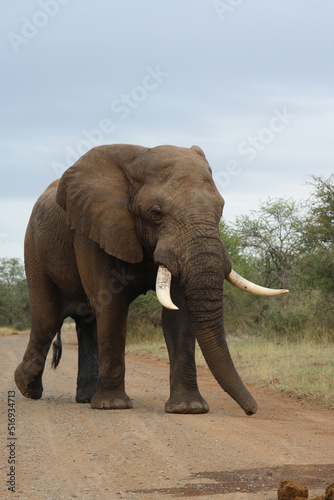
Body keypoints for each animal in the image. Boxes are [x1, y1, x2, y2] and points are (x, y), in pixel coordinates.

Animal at [15, 144, 288, 414]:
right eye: (156, 213)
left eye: (220, 210)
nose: (251, 409)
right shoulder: (93, 229)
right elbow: (111, 305)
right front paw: (113, 406)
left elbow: (179, 312)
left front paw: (189, 408)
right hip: (33, 246)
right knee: (47, 318)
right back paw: (27, 388)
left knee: (86, 322)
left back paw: (85, 397)